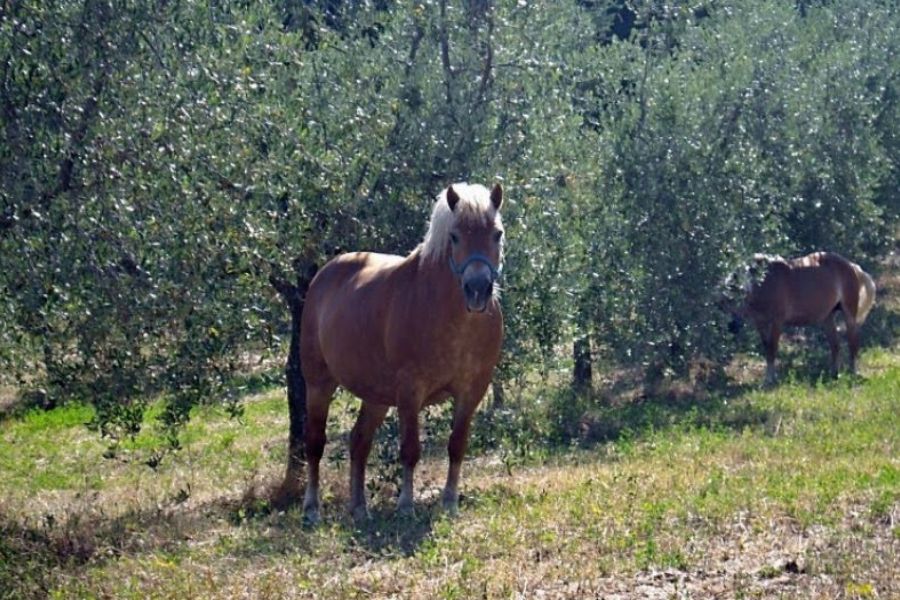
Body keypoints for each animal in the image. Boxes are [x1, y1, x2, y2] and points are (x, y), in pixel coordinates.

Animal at [299, 183, 505, 523]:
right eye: (454, 236)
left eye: (497, 234)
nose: (477, 290)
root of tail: (323, 276)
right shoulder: (410, 391)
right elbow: (410, 449)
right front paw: (406, 505)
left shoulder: (471, 391)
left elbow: (457, 445)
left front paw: (450, 502)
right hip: (319, 384)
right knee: (315, 443)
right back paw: (312, 509)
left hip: (377, 396)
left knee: (359, 442)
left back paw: (359, 508)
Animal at [729, 251, 876, 385]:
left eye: (739, 295)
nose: (732, 327)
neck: (765, 282)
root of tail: (851, 266)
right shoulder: (760, 322)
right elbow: (767, 348)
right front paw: (769, 378)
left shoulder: (777, 322)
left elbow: (772, 348)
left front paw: (770, 380)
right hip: (827, 318)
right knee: (835, 345)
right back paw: (834, 374)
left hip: (849, 315)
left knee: (853, 343)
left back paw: (853, 372)